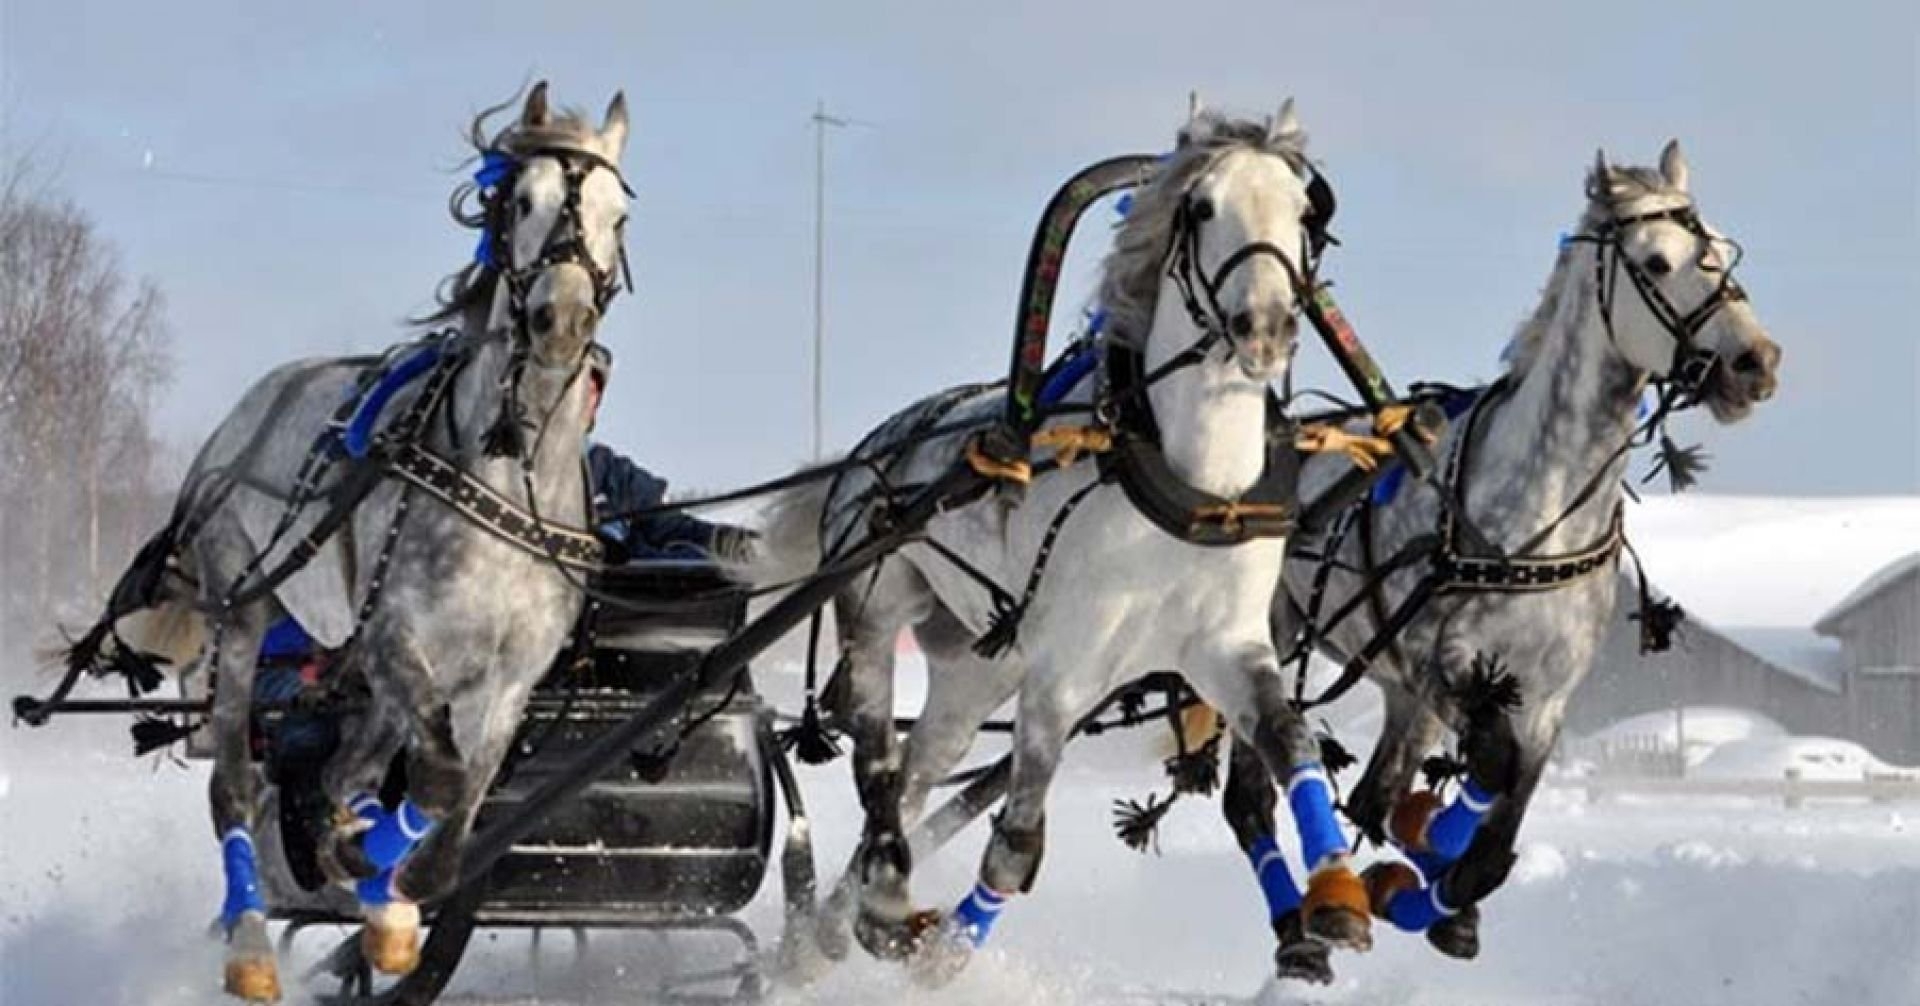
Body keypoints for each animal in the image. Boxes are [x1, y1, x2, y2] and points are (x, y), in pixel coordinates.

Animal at [56, 82, 629, 998]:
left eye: (618, 214)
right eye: (522, 201)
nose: (561, 320)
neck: (511, 476)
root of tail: (250, 408)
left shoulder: (509, 680)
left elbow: (453, 800)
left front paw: (387, 890)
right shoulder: (399, 636)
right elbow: (436, 779)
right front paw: (371, 878)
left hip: (365, 667)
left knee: (346, 771)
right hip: (247, 614)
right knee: (236, 786)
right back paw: (253, 945)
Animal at [744, 104, 1367, 990]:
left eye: (1305, 211)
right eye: (1201, 206)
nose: (1265, 328)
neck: (1189, 489)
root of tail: (870, 450)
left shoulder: (1229, 650)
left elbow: (1292, 741)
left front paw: (1339, 890)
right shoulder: (1063, 674)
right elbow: (1018, 839)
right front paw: (946, 953)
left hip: (978, 666)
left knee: (919, 766)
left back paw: (843, 920)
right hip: (877, 610)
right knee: (875, 756)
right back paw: (887, 902)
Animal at [1213, 141, 1781, 982]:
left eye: (1716, 247)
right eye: (1655, 259)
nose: (1755, 361)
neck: (1541, 508)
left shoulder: (1544, 697)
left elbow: (1495, 832)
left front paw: (1443, 901)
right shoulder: (1449, 666)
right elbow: (1486, 765)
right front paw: (1428, 868)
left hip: (1397, 690)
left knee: (1375, 794)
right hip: (1273, 646)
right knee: (1252, 797)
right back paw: (1305, 932)